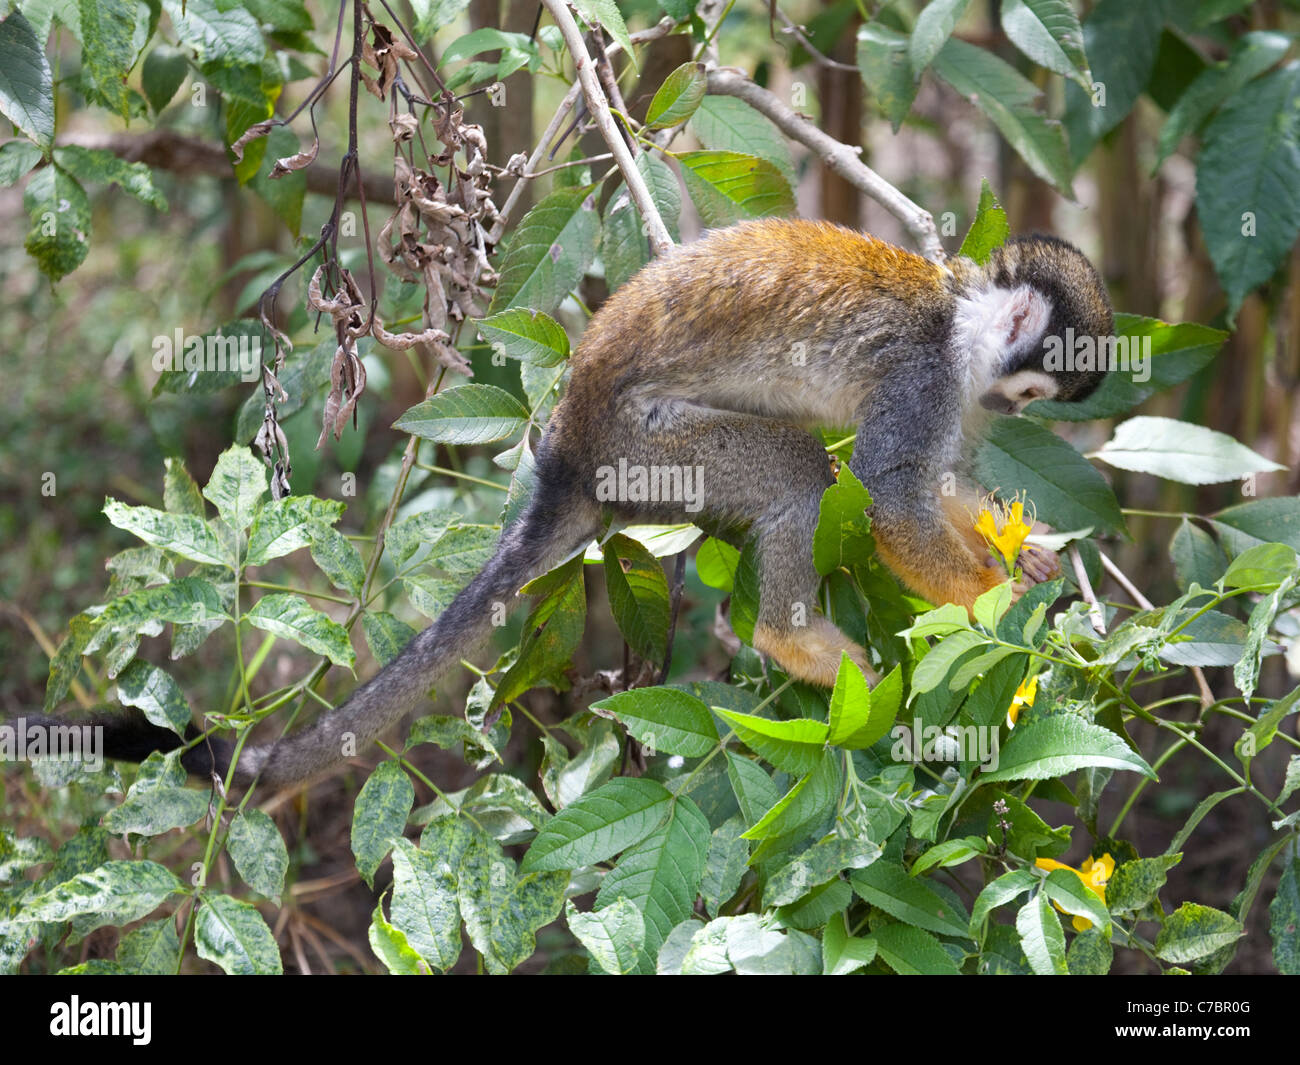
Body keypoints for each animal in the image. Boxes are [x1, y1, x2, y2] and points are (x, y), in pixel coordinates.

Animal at [76, 218, 1112, 785]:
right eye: (1034, 392)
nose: (1018, 412)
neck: (962, 323)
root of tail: (566, 455)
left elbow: (935, 487)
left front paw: (1021, 551)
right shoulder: (926, 376)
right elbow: (895, 501)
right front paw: (999, 610)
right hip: (645, 453)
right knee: (795, 471)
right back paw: (795, 641)